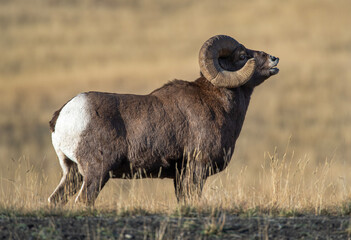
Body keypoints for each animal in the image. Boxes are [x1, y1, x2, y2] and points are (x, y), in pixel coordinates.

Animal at [48, 34, 280, 205]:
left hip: (73, 173)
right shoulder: (197, 168)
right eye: (242, 56)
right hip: (96, 173)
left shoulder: (180, 175)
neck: (218, 104)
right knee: (83, 200)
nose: (274, 59)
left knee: (55, 200)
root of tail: (62, 116)